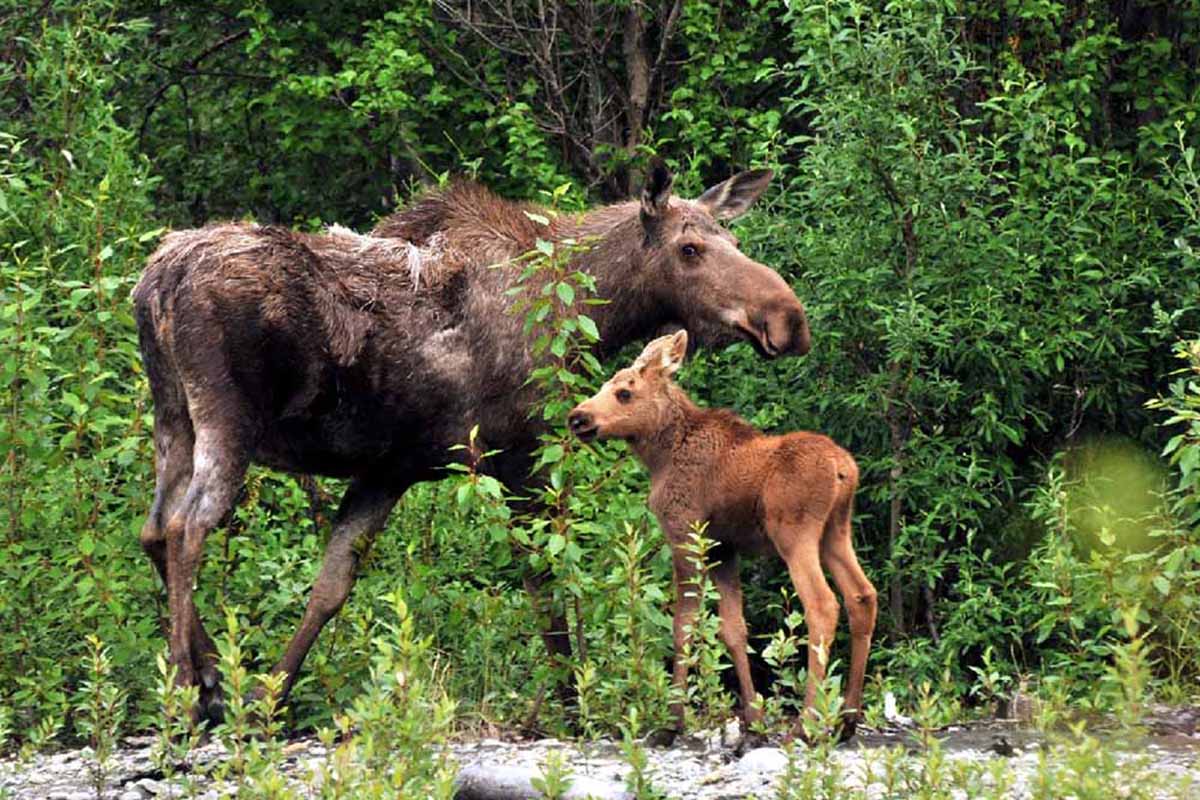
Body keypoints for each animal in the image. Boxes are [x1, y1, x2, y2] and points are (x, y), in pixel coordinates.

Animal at [131, 160, 811, 719]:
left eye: (733, 240)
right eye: (690, 247)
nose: (788, 319)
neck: (590, 309)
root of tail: (157, 281)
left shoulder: (388, 469)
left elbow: (331, 586)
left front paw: (270, 693)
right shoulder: (519, 455)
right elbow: (543, 579)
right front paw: (572, 704)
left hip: (173, 417)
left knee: (153, 529)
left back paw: (209, 681)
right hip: (226, 420)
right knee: (188, 528)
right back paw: (190, 691)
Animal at [566, 331, 878, 738]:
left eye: (624, 392)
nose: (577, 417)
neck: (659, 456)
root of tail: (844, 470)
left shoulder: (684, 533)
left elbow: (683, 625)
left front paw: (674, 718)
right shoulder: (722, 548)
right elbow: (733, 630)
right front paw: (753, 717)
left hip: (795, 533)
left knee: (823, 605)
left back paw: (807, 722)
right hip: (836, 532)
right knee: (862, 595)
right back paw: (849, 717)